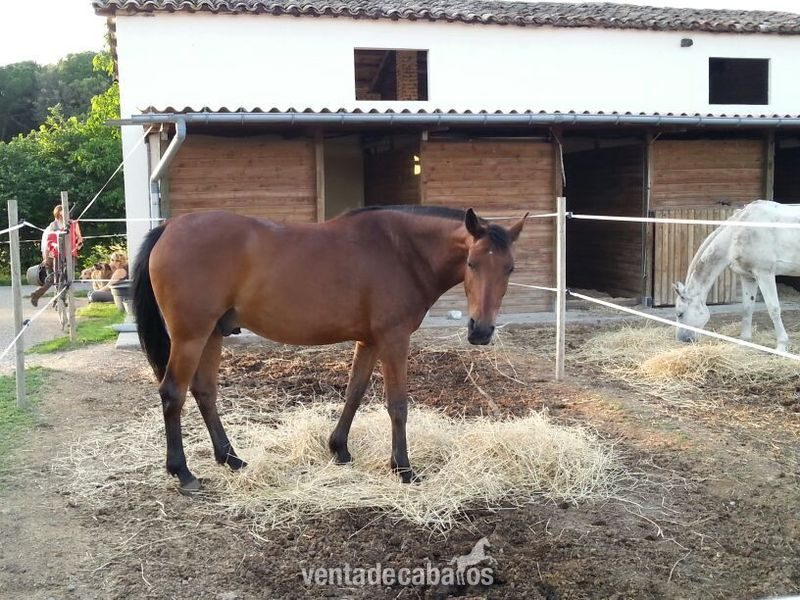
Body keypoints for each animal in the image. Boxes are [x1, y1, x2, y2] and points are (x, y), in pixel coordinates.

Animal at [133, 205, 528, 492]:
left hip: (213, 334)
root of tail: (170, 227)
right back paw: (183, 473)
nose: (481, 331)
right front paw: (403, 468)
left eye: (510, 268)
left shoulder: (369, 341)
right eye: (472, 263)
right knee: (173, 393)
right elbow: (397, 405)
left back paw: (231, 459)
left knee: (204, 392)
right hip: (190, 336)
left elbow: (354, 393)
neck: (401, 251)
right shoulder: (394, 339)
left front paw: (339, 449)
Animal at [674, 200, 800, 352]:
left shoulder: (765, 274)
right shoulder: (748, 277)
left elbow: (774, 309)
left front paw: (781, 347)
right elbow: (747, 309)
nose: (683, 339)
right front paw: (744, 341)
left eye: (680, 313)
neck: (739, 231)